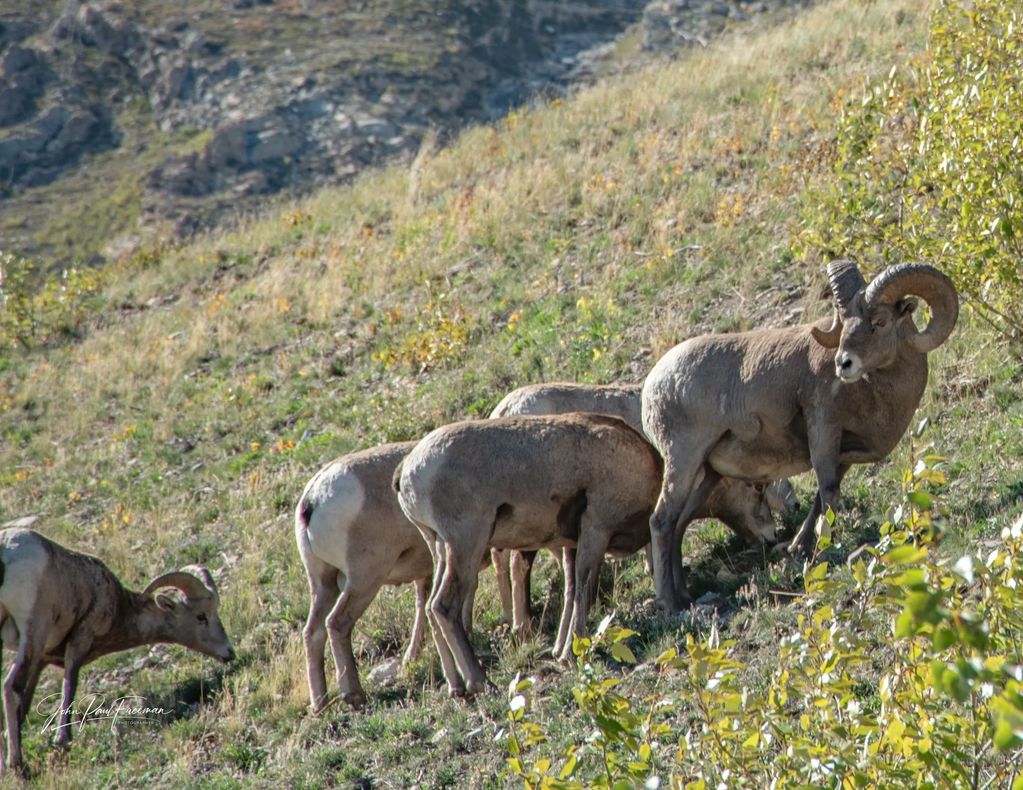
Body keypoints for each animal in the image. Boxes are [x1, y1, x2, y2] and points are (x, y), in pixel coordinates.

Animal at [0, 527, 234, 773]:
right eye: (201, 616)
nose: (229, 652)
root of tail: (6, 548)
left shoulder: (42, 658)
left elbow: (25, 707)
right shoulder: (79, 640)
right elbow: (69, 686)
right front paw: (63, 741)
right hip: (34, 632)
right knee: (10, 686)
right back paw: (17, 766)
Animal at [395, 412, 662, 695]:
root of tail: (406, 472)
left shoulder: (571, 543)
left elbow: (570, 591)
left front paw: (560, 650)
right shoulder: (596, 529)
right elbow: (584, 592)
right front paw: (571, 653)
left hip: (440, 548)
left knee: (431, 610)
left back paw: (457, 687)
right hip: (466, 543)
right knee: (443, 607)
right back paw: (480, 681)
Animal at [641, 261, 958, 612]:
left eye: (880, 321)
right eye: (844, 324)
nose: (843, 364)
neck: (875, 391)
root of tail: (652, 387)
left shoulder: (841, 454)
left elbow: (821, 497)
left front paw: (800, 549)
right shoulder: (823, 427)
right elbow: (829, 492)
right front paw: (826, 548)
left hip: (707, 475)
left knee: (679, 524)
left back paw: (684, 596)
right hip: (683, 461)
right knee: (661, 521)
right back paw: (671, 603)